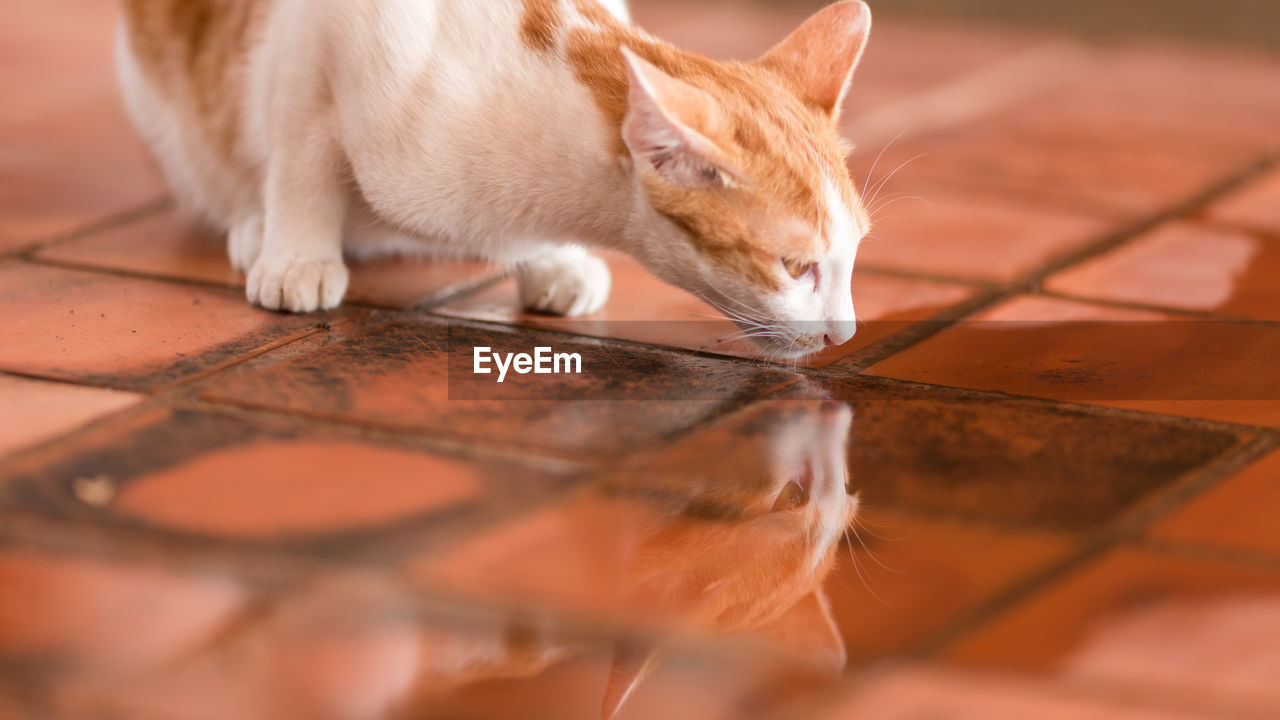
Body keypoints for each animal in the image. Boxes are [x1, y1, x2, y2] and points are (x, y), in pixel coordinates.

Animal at [117, 0, 870, 356]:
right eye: (795, 266)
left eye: (854, 255)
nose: (845, 335)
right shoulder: (320, 37)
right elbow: (301, 147)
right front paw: (297, 253)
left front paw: (555, 261)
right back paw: (255, 227)